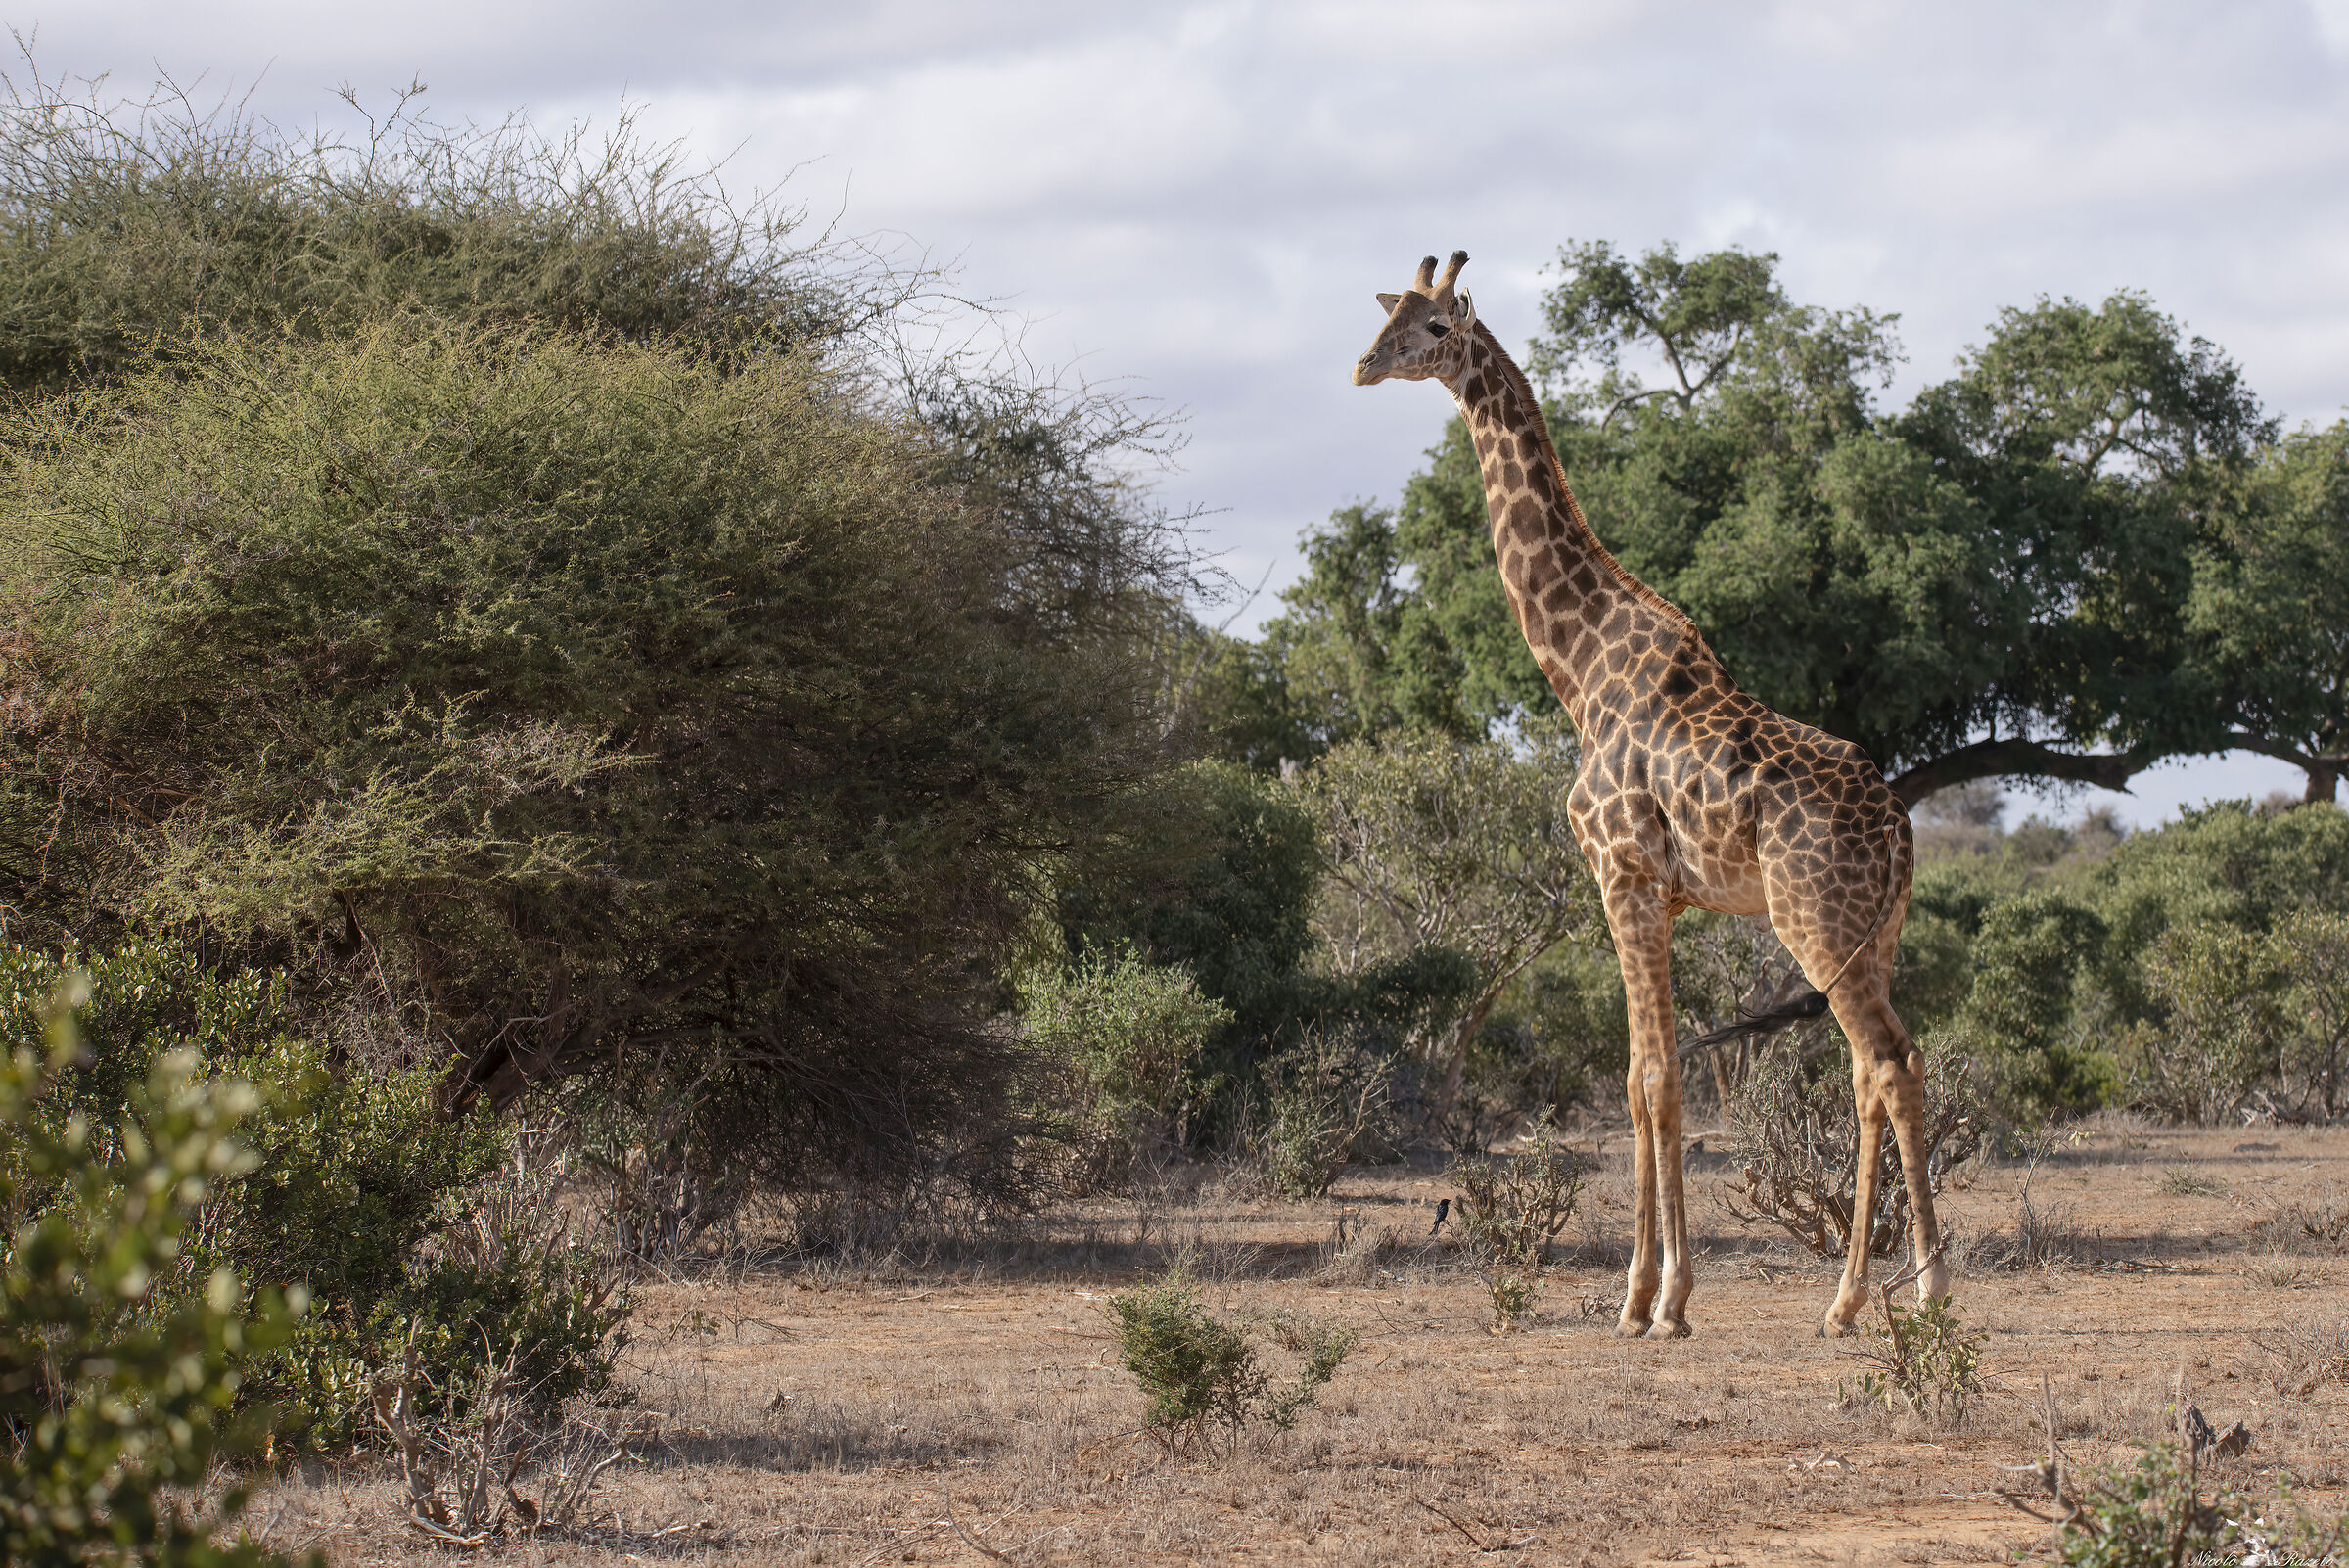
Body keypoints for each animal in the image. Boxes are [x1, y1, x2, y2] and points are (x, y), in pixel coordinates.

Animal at [1353, 252, 1947, 1338]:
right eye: (1387, 317)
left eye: (1433, 330)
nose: (1364, 365)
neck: (1575, 667)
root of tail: (1898, 825)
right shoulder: (1658, 898)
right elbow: (1642, 1079)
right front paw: (1653, 1293)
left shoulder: (1620, 876)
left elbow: (1653, 1080)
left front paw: (1654, 1299)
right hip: (1874, 931)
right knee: (1874, 1071)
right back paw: (1848, 1300)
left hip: (1816, 921)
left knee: (1887, 1062)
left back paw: (1920, 1290)